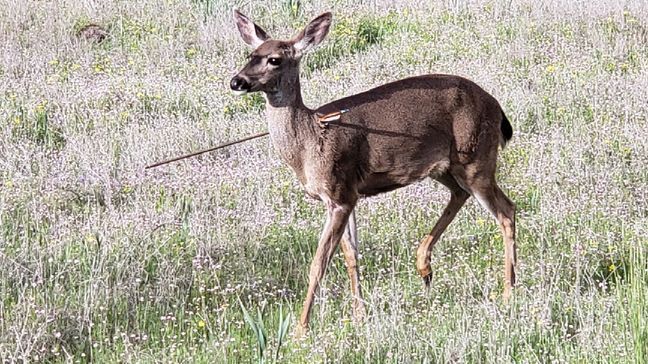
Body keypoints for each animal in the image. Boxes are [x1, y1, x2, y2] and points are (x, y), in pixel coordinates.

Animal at [230, 10, 520, 336]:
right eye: (250, 54)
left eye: (275, 59)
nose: (236, 81)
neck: (309, 142)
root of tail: (496, 106)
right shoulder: (347, 194)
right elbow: (351, 256)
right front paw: (359, 315)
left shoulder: (339, 192)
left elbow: (319, 263)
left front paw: (300, 329)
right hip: (446, 166)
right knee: (461, 194)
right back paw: (425, 266)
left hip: (476, 157)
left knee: (506, 210)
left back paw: (508, 292)